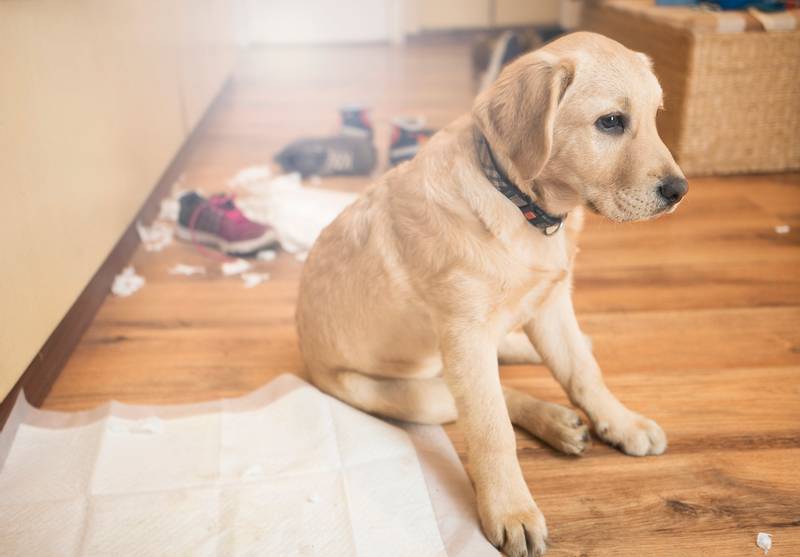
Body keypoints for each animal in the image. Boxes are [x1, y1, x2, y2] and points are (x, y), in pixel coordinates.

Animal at [296, 31, 684, 556]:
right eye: (610, 122)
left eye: (657, 116)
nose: (680, 190)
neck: (520, 205)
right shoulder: (465, 334)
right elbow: (491, 428)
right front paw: (511, 511)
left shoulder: (552, 304)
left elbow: (584, 373)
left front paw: (621, 422)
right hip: (410, 394)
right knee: (485, 396)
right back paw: (551, 419)